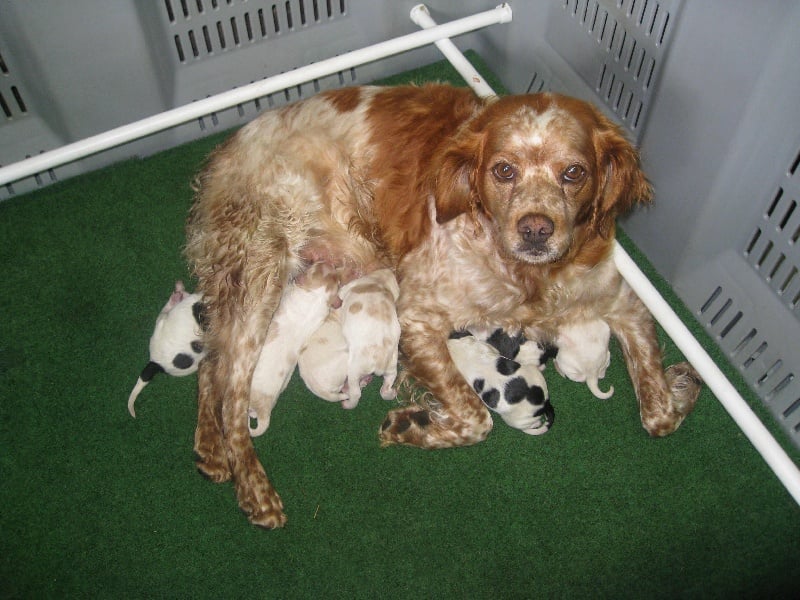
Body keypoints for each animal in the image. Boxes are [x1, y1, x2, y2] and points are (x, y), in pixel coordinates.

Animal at [336, 270, 400, 410]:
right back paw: (391, 393)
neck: (380, 283)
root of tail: (381, 356)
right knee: (385, 389)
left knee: (356, 394)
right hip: (391, 369)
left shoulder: (348, 287)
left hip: (354, 371)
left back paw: (347, 403)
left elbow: (341, 291)